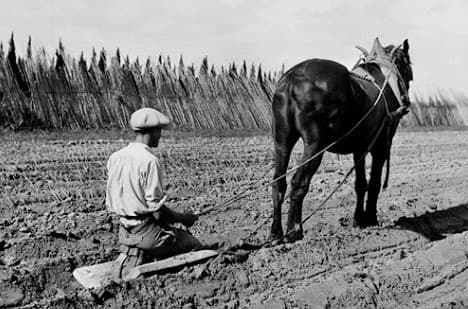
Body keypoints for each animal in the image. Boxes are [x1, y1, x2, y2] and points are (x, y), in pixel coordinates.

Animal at [270, 38, 414, 241]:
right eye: (408, 67)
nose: (406, 100)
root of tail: (292, 77)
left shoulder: (360, 148)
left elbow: (361, 184)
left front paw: (358, 220)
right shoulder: (380, 146)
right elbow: (375, 183)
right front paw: (371, 218)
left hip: (282, 141)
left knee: (278, 183)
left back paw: (275, 233)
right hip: (315, 145)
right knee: (299, 182)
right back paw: (294, 230)